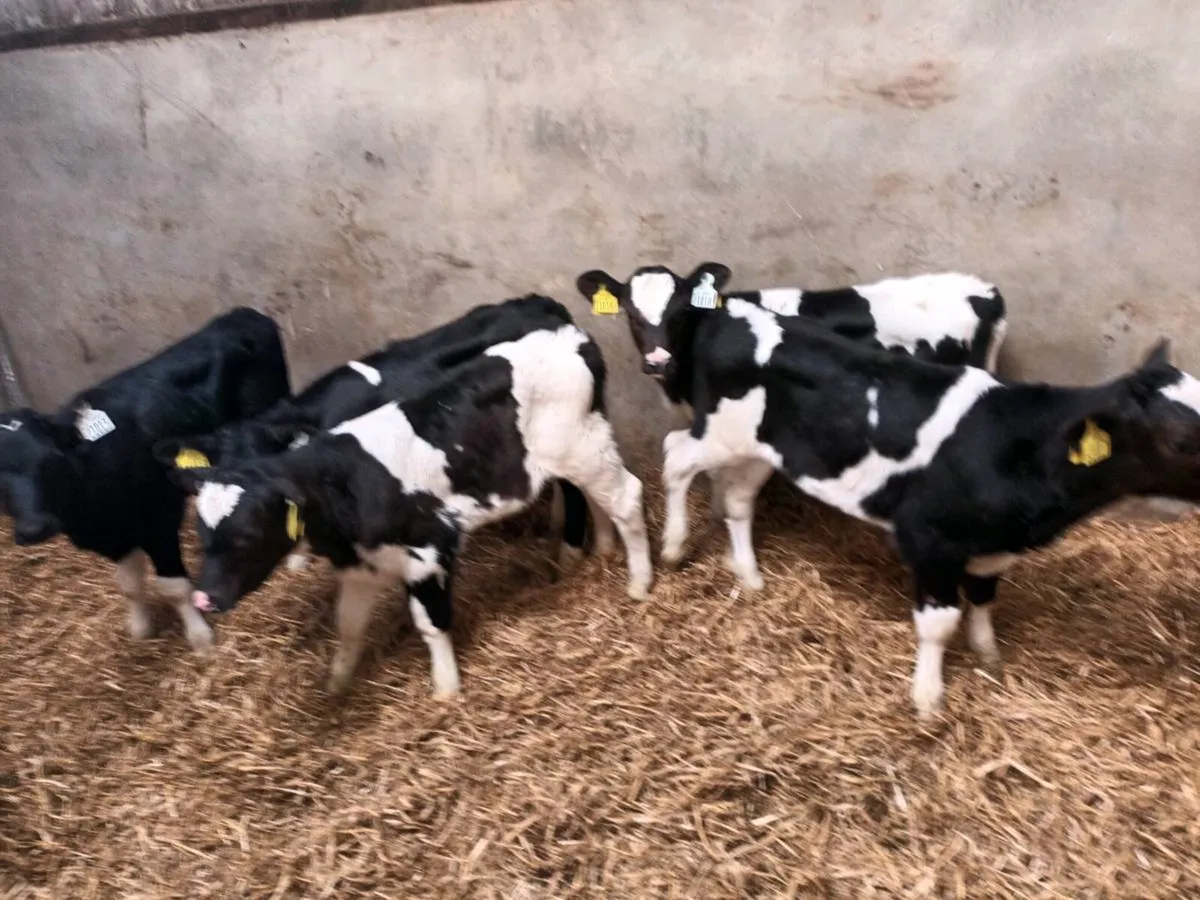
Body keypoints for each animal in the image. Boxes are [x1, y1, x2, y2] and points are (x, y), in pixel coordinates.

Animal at [0, 307, 290, 652]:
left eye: (51, 460)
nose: (35, 528)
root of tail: (240, 314)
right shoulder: (115, 536)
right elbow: (128, 584)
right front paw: (140, 627)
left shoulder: (159, 521)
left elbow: (173, 587)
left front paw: (200, 637)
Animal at [621, 273, 1200, 716]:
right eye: (1179, 439)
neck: (1013, 442)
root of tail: (735, 312)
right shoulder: (930, 542)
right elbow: (938, 625)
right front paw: (928, 698)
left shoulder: (992, 545)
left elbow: (984, 598)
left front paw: (988, 655)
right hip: (720, 433)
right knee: (676, 456)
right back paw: (673, 547)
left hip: (761, 450)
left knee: (737, 500)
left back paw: (748, 574)